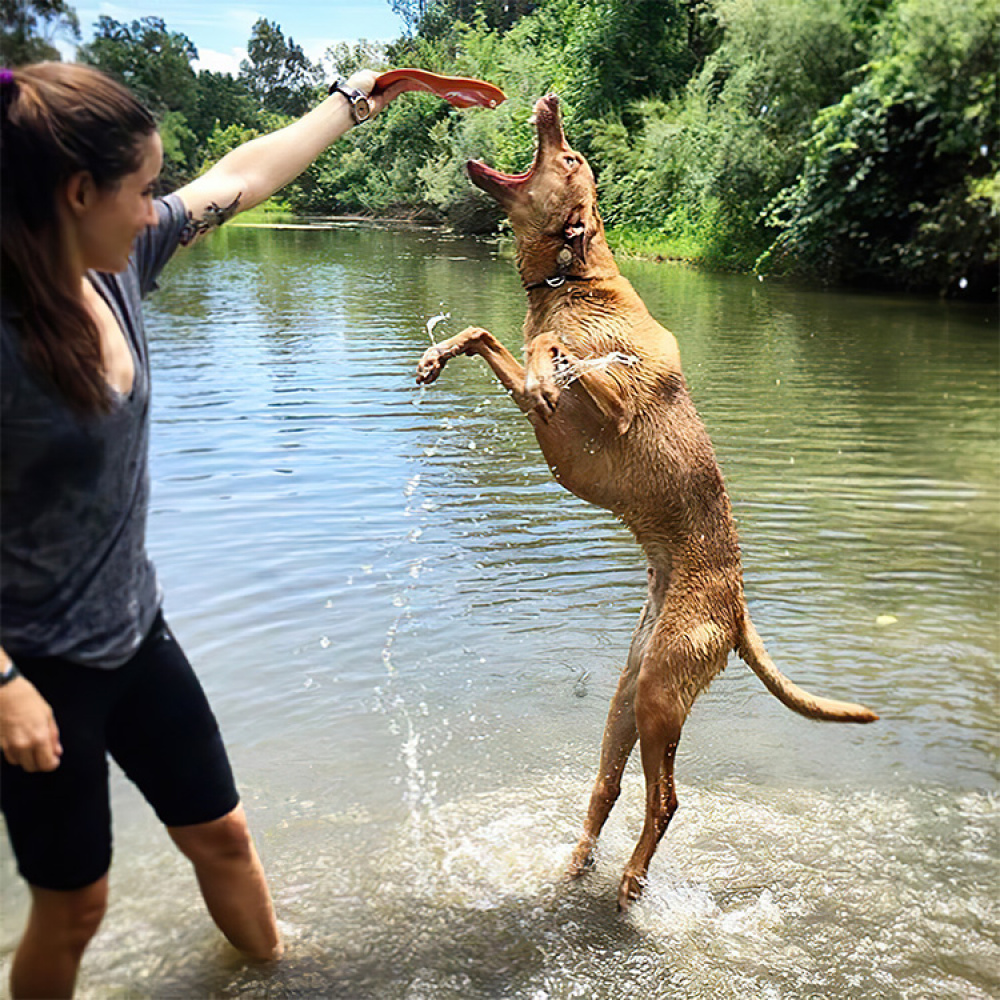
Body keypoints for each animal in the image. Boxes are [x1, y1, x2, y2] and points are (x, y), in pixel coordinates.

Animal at [414, 97, 876, 912]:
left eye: (570, 159)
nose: (551, 101)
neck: (570, 283)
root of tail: (734, 607)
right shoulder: (535, 397)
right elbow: (488, 334)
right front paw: (439, 357)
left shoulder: (616, 400)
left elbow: (558, 356)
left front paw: (552, 359)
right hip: (629, 697)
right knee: (610, 787)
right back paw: (578, 863)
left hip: (661, 696)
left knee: (666, 800)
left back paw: (630, 880)